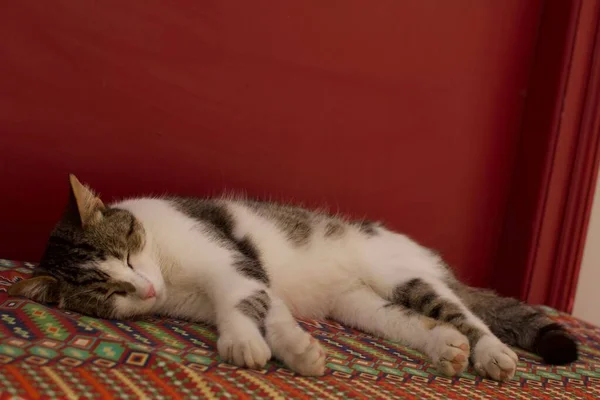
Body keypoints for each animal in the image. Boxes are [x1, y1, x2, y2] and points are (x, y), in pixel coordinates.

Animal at [8, 176, 576, 382]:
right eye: (110, 292)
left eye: (127, 256)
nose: (146, 289)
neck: (168, 272)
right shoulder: (254, 280)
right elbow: (272, 313)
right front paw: (298, 350)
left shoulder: (230, 263)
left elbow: (239, 307)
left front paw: (241, 344)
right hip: (361, 306)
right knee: (418, 323)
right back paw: (446, 348)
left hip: (403, 275)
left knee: (470, 316)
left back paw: (490, 353)